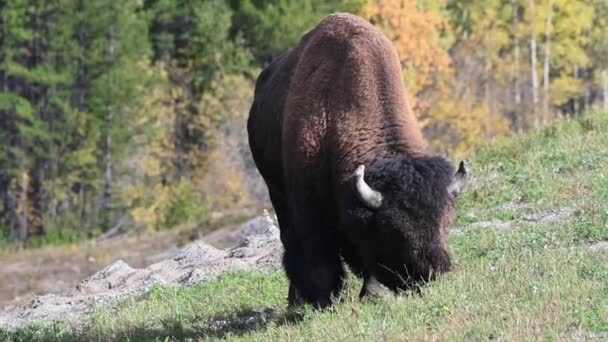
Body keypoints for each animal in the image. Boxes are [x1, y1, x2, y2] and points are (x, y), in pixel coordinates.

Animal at [247, 13, 470, 308]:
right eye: (393, 230)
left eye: (447, 221)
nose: (431, 271)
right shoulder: (309, 210)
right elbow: (318, 259)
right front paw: (325, 301)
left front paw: (372, 293)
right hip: (276, 194)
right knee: (289, 242)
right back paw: (296, 300)